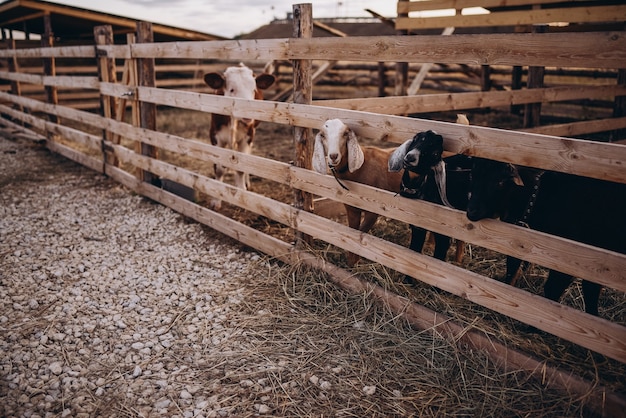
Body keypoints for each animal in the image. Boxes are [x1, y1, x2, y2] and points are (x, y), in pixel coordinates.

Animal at [204, 63, 274, 209]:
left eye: (253, 90)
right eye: (232, 90)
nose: (249, 112)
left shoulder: (248, 136)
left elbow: (242, 167)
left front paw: (242, 193)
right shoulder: (215, 136)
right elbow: (219, 169)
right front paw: (216, 199)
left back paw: (246, 183)